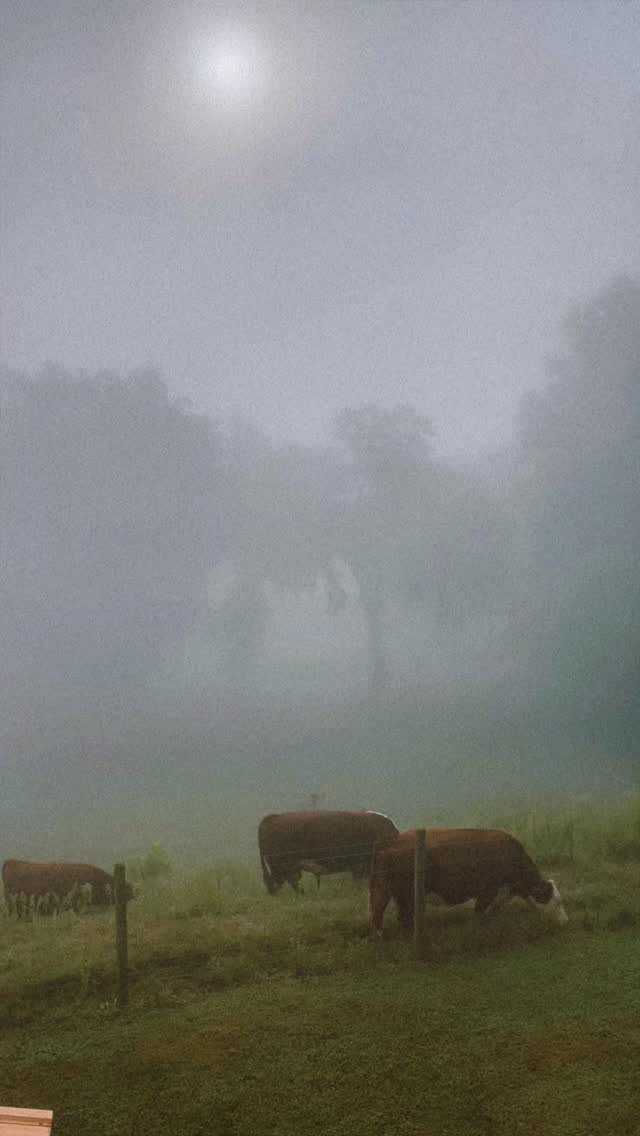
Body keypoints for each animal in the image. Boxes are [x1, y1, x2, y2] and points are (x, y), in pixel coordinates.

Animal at [369, 828, 569, 933]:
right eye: (556, 901)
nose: (566, 921)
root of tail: (394, 838)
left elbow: (491, 912)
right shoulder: (487, 891)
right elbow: (479, 913)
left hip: (392, 892)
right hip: (402, 893)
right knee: (388, 914)